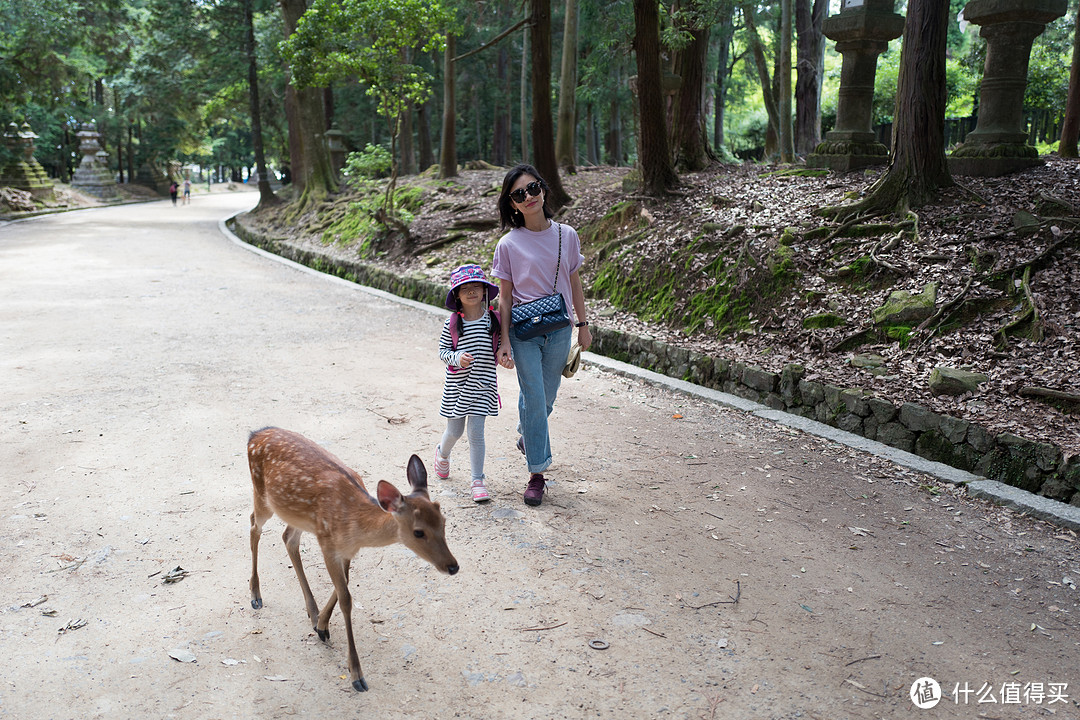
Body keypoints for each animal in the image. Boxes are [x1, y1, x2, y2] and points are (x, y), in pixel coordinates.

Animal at [247, 427, 457, 690]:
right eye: (418, 532)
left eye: (444, 522)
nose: (452, 566)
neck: (354, 523)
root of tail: (254, 435)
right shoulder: (327, 542)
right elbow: (346, 598)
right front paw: (357, 674)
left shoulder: (346, 549)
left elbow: (343, 586)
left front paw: (321, 625)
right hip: (261, 494)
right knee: (254, 526)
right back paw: (256, 595)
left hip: (295, 514)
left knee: (288, 538)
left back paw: (312, 611)